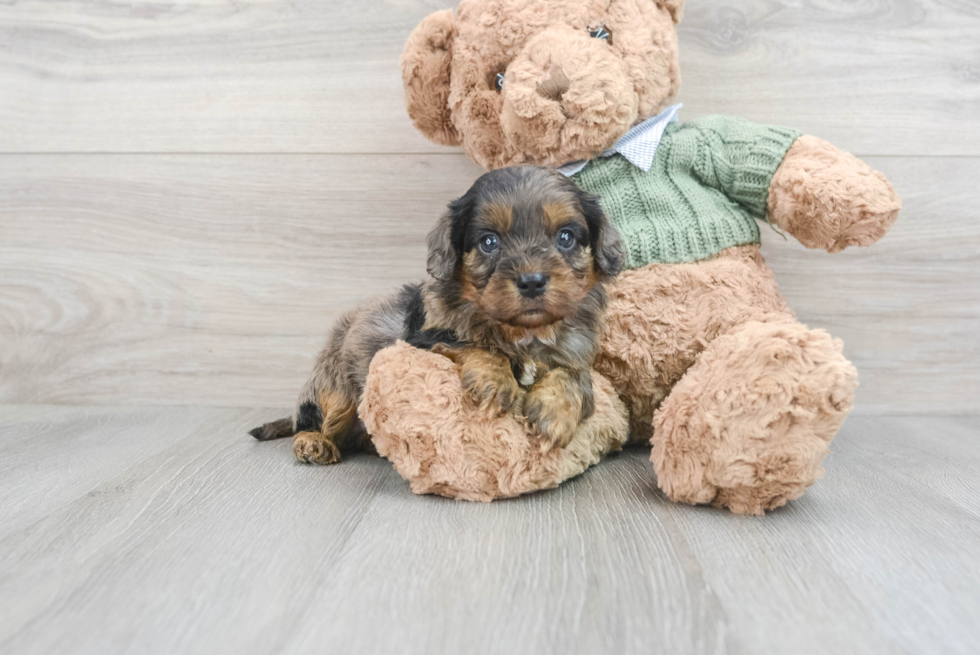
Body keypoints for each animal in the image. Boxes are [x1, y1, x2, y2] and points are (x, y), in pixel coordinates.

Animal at [249, 167, 624, 464]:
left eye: (566, 237)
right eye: (489, 242)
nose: (532, 281)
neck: (521, 332)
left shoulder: (575, 353)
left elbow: (575, 377)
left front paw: (554, 411)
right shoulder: (425, 340)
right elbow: (475, 345)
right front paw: (495, 381)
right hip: (337, 385)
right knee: (313, 420)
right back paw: (313, 443)